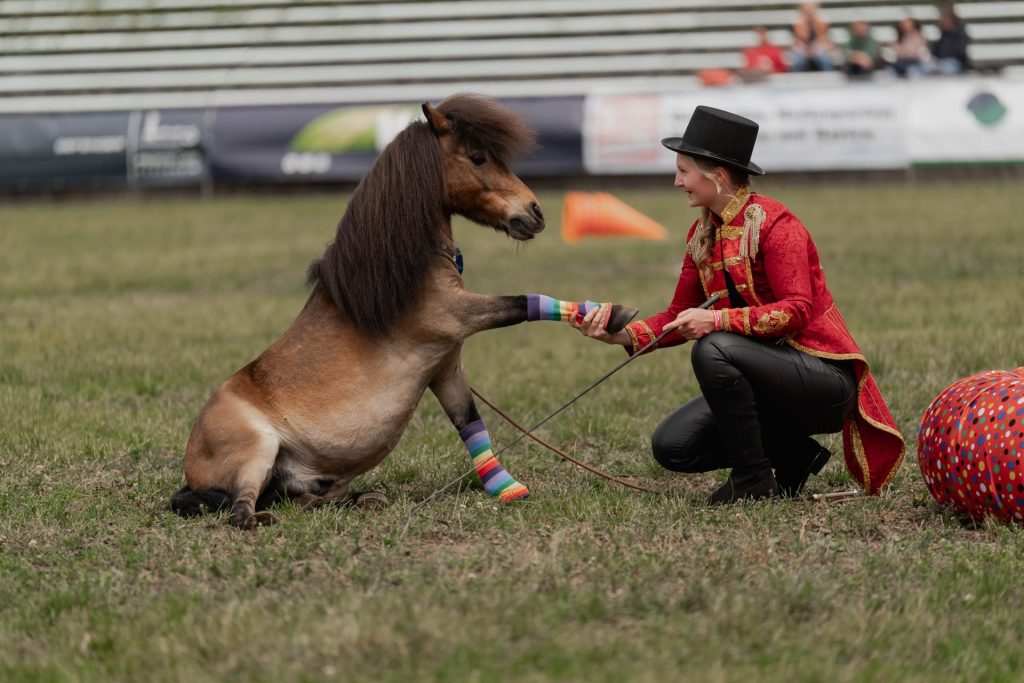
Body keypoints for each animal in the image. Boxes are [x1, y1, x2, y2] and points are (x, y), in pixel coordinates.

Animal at [170, 94, 638, 529]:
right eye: (478, 156)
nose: (535, 213)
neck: (407, 267)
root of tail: (193, 474)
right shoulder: (458, 316)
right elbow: (526, 302)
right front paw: (610, 314)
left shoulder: (446, 368)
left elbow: (470, 424)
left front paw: (506, 489)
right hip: (257, 452)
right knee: (240, 507)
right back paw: (260, 519)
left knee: (304, 499)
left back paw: (364, 499)